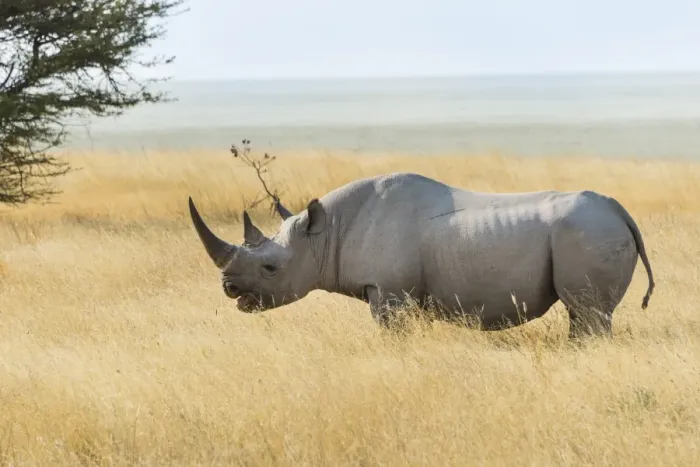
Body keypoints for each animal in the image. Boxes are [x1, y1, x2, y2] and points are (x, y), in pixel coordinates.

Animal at [188, 172, 655, 338]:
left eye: (270, 268)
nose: (229, 289)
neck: (324, 235)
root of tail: (620, 211)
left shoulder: (390, 291)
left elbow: (391, 334)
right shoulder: (400, 292)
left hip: (588, 231)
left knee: (589, 312)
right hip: (593, 229)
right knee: (586, 314)